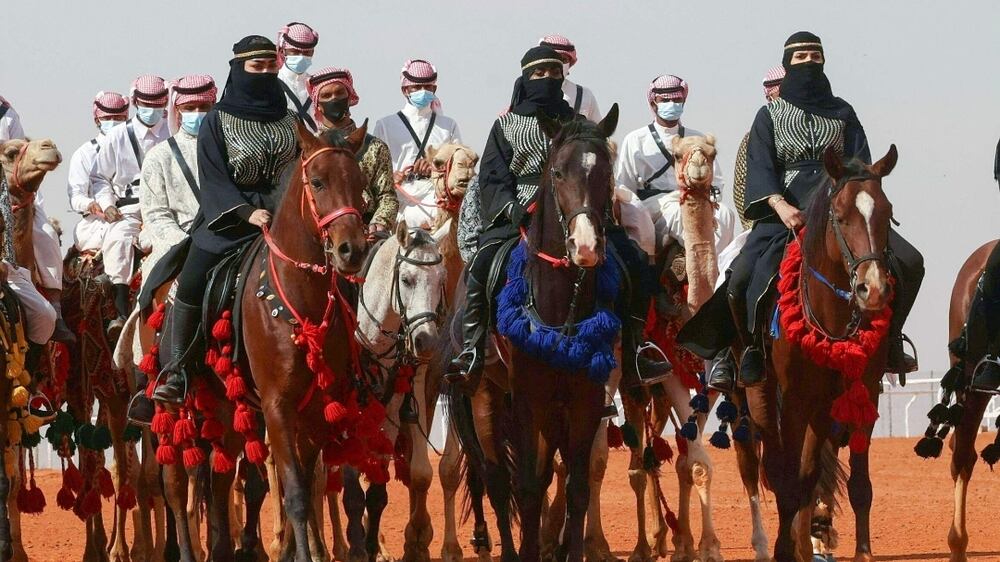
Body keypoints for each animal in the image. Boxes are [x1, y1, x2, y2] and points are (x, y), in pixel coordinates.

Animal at [752, 145, 904, 560]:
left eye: (887, 212)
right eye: (840, 214)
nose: (873, 288)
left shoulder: (862, 393)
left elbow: (858, 485)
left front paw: (863, 552)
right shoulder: (793, 400)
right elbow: (788, 484)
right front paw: (784, 550)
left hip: (822, 410)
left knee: (811, 473)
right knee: (780, 471)